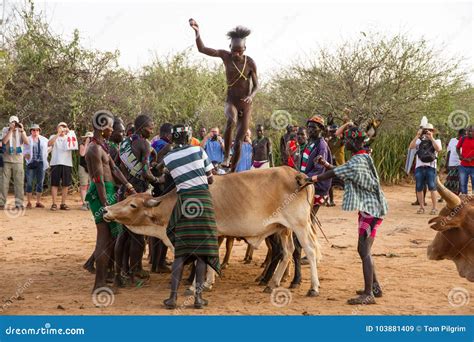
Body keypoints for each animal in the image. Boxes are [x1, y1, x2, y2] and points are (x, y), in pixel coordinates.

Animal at [104, 167, 322, 296]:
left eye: (133, 205)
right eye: (127, 199)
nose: (106, 210)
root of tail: (299, 176)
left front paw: (195, 286)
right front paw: (208, 282)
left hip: (299, 225)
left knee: (310, 250)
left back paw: (313, 287)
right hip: (284, 229)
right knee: (287, 252)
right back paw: (272, 283)